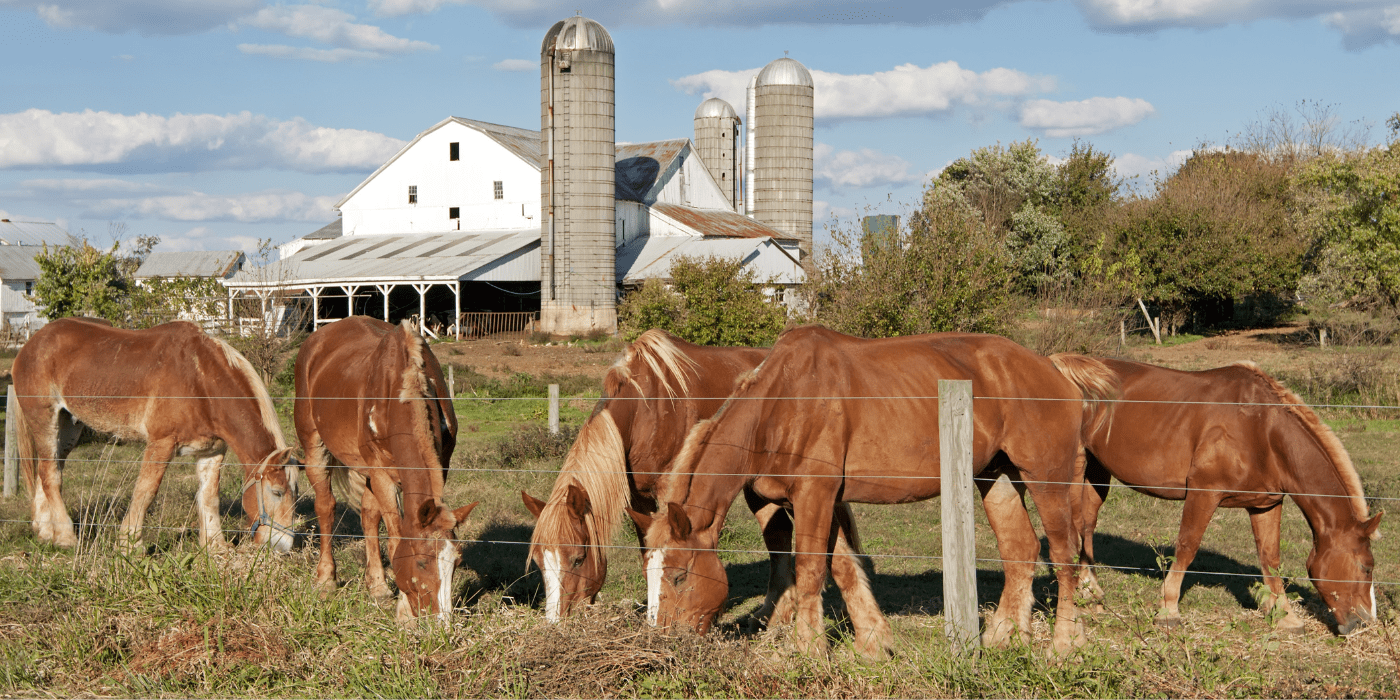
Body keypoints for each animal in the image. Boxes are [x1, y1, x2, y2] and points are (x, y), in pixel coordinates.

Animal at [10, 317, 301, 551]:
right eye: (276, 492)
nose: (282, 547)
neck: (200, 380)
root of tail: (32, 343)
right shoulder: (161, 444)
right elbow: (146, 491)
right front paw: (129, 544)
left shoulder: (213, 451)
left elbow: (210, 497)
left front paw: (215, 546)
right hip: (44, 419)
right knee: (50, 475)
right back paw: (66, 538)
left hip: (69, 426)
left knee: (48, 469)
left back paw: (45, 532)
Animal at [292, 317, 478, 624]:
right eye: (421, 562)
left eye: (457, 560)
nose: (440, 621)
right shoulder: (380, 472)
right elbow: (395, 541)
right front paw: (404, 614)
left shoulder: (441, 465)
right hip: (314, 445)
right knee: (326, 507)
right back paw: (326, 579)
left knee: (368, 515)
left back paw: (377, 586)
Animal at [520, 330, 890, 658]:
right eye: (538, 562)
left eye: (578, 558)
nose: (556, 626)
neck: (648, 408)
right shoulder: (641, 499)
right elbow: (649, 549)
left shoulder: (671, 491)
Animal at [638, 324, 1114, 658]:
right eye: (649, 573)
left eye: (679, 576)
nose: (663, 643)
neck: (783, 401)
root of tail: (1053, 369)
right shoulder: (815, 501)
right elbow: (842, 568)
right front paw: (873, 642)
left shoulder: (815, 496)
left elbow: (810, 569)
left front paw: (808, 649)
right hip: (997, 479)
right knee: (1019, 550)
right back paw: (1004, 636)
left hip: (1046, 478)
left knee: (1063, 555)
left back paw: (1064, 645)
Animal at [1069, 358, 1377, 638]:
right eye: (1366, 566)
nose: (1362, 623)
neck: (1261, 427)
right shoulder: (1204, 493)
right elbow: (1187, 547)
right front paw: (1168, 610)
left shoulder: (1265, 504)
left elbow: (1270, 557)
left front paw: (1285, 615)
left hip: (1097, 471)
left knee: (1087, 524)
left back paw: (1091, 591)